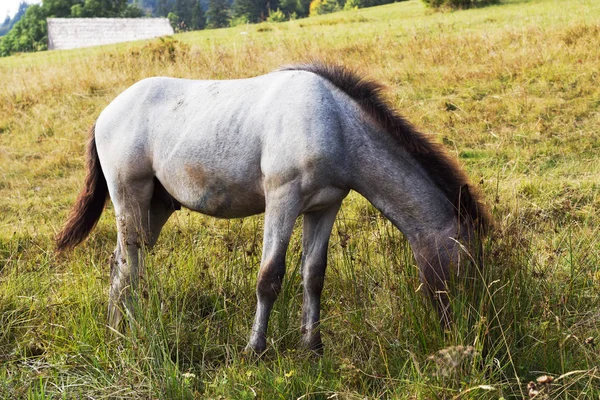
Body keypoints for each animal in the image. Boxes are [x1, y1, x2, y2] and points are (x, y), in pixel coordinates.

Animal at [56, 62, 490, 354]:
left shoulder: (324, 207)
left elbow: (313, 276)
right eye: (466, 260)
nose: (468, 328)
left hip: (156, 207)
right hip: (130, 198)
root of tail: (105, 114)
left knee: (123, 264)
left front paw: (312, 347)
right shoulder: (282, 200)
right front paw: (255, 350)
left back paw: (120, 331)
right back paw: (130, 334)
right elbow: (270, 277)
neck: (334, 123)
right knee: (129, 265)